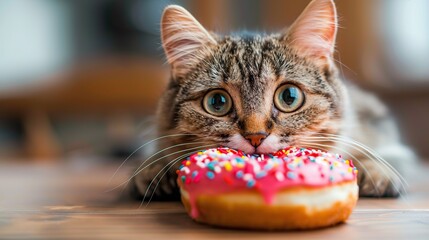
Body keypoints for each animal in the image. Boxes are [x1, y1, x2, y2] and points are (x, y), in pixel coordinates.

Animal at [128, 0, 414, 201]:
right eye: (217, 102)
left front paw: (377, 170)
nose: (256, 136)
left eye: (289, 97)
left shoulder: (375, 119)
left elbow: (393, 154)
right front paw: (154, 170)